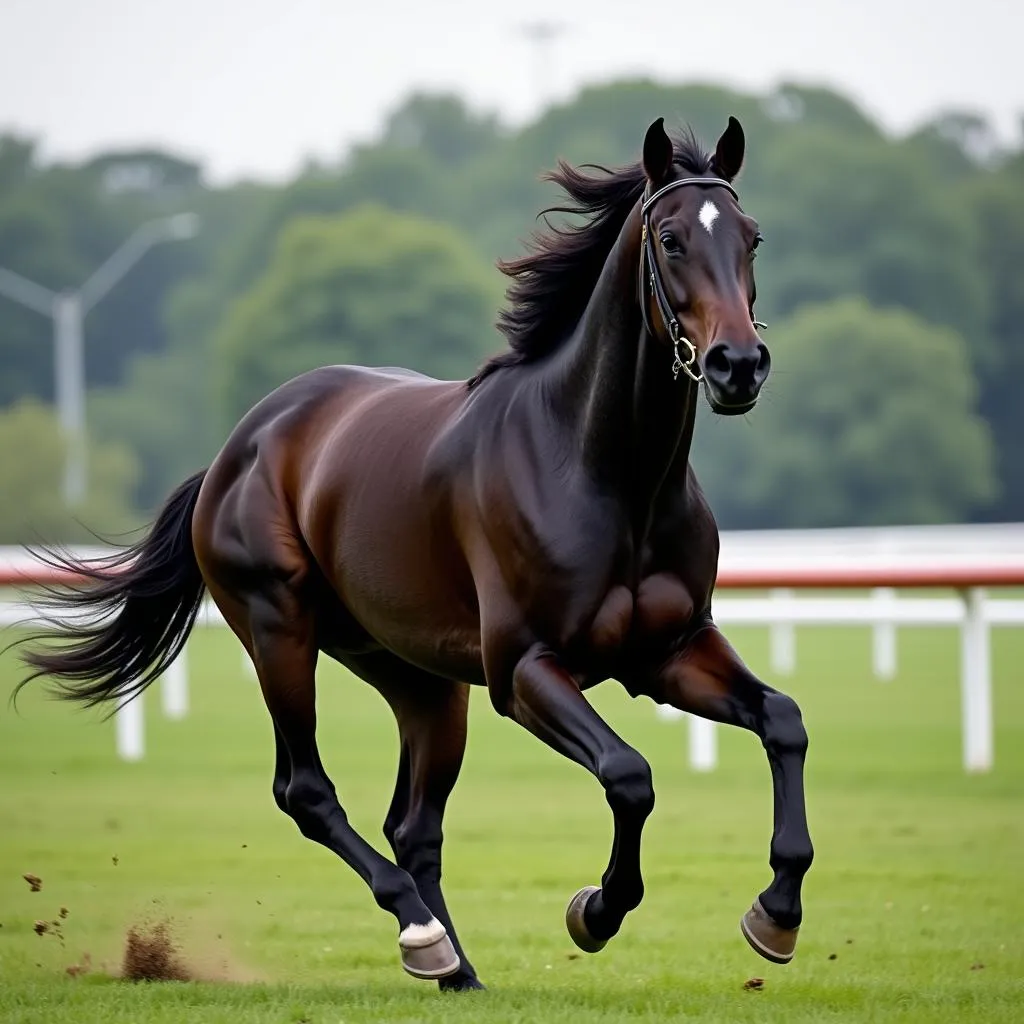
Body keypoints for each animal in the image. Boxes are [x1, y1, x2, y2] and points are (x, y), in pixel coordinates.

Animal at [16, 117, 811, 991]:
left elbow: (783, 721)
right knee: (307, 791)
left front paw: (776, 915)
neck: (607, 472)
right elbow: (629, 775)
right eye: (671, 239)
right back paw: (422, 932)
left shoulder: (669, 651)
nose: (740, 365)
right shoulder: (525, 670)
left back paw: (458, 968)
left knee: (413, 823)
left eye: (751, 237)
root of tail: (239, 446)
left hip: (420, 679)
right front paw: (596, 910)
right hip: (280, 631)